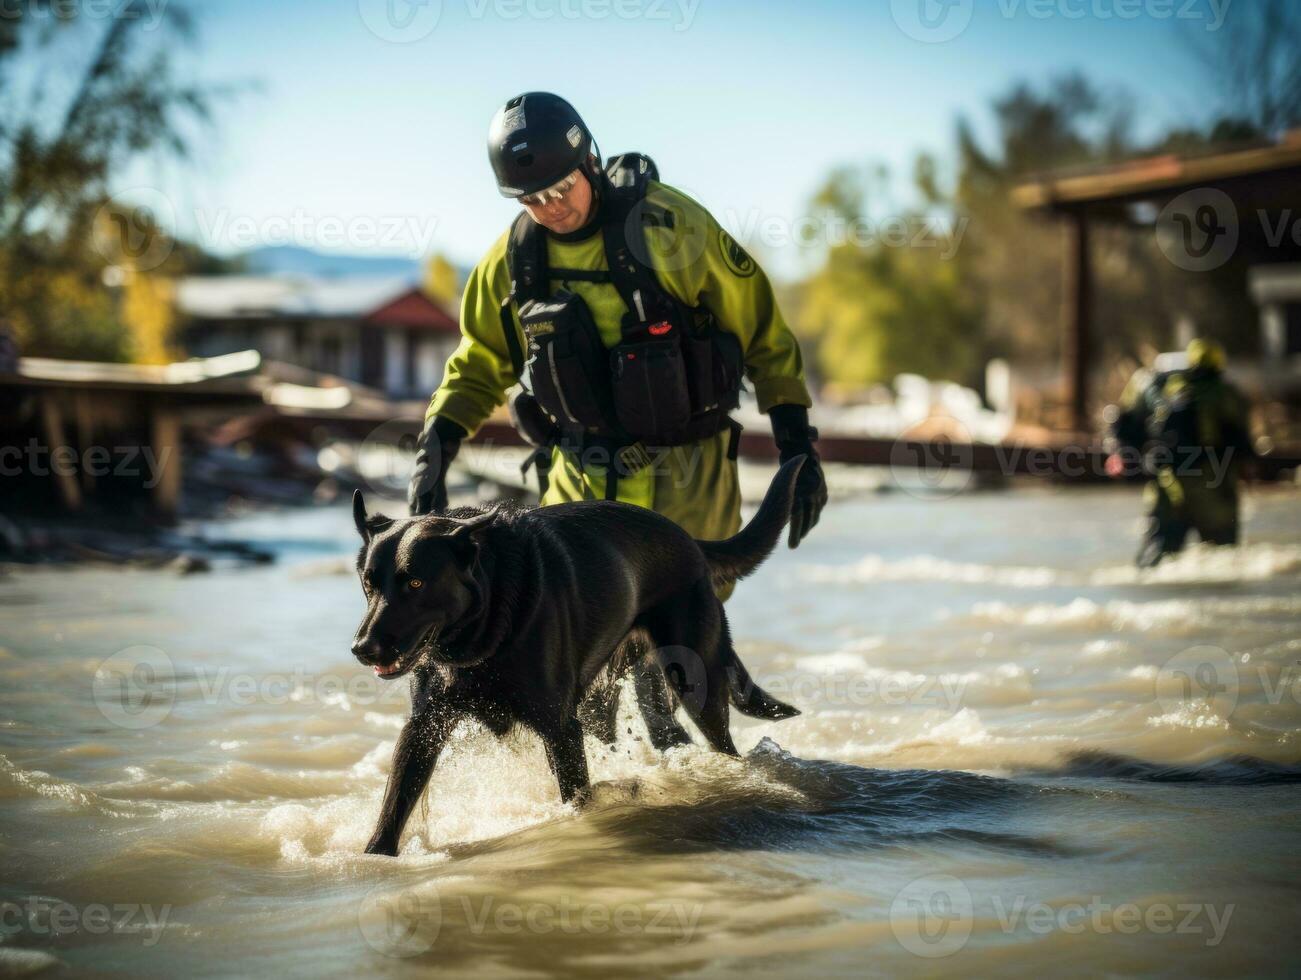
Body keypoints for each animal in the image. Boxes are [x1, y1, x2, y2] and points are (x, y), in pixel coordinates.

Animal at [351, 455, 806, 853]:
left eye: (415, 584)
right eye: (368, 583)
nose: (362, 648)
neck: (487, 626)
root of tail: (688, 539)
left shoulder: (560, 729)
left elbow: (576, 797)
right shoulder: (424, 725)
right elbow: (393, 807)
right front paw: (375, 858)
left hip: (696, 684)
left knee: (720, 742)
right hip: (604, 698)